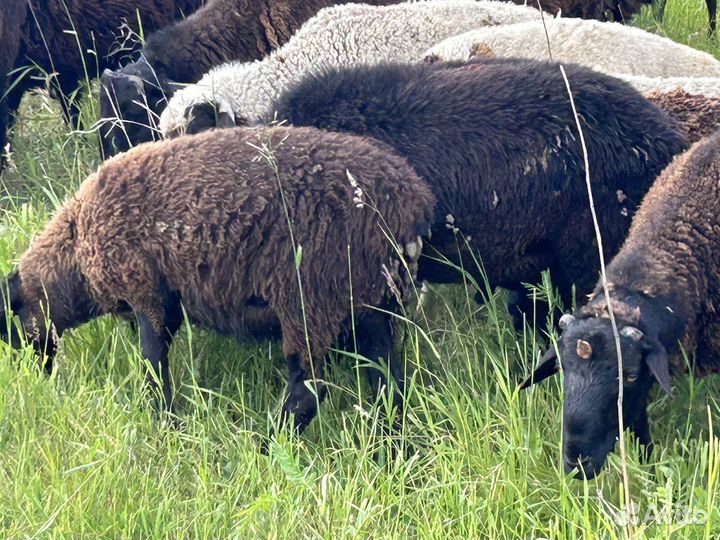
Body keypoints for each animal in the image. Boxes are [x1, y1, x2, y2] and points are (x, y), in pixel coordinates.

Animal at [0, 125, 436, 432]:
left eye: (10, 321)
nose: (33, 378)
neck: (75, 249)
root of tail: (410, 200)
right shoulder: (167, 302)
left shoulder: (144, 289)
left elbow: (153, 364)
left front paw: (165, 423)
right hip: (370, 301)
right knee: (390, 383)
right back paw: (390, 447)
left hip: (311, 297)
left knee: (308, 391)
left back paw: (268, 446)